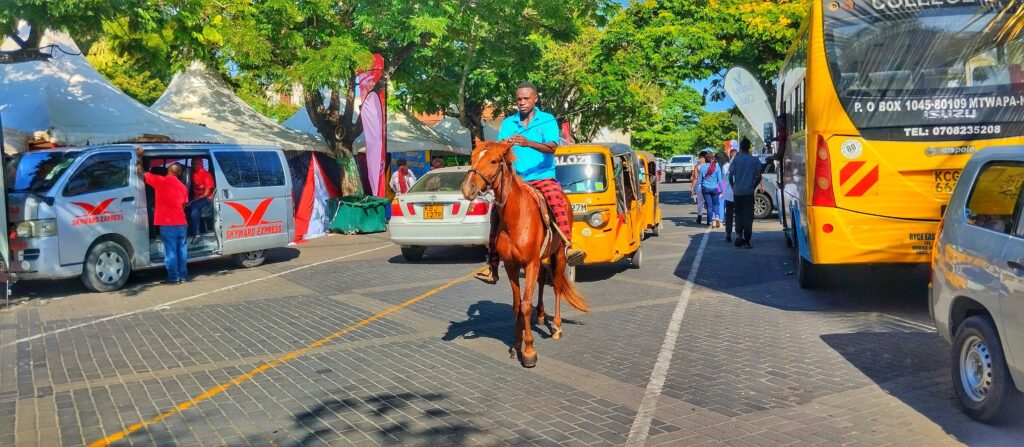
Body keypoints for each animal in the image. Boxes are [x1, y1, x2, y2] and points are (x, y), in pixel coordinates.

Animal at [460, 142, 589, 366]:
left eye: (493, 161)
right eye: (472, 158)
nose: (468, 188)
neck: (516, 216)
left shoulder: (530, 263)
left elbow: (526, 305)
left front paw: (529, 351)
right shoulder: (512, 266)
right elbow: (517, 305)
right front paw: (516, 344)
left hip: (559, 255)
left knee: (556, 286)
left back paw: (556, 327)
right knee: (542, 280)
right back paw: (541, 315)